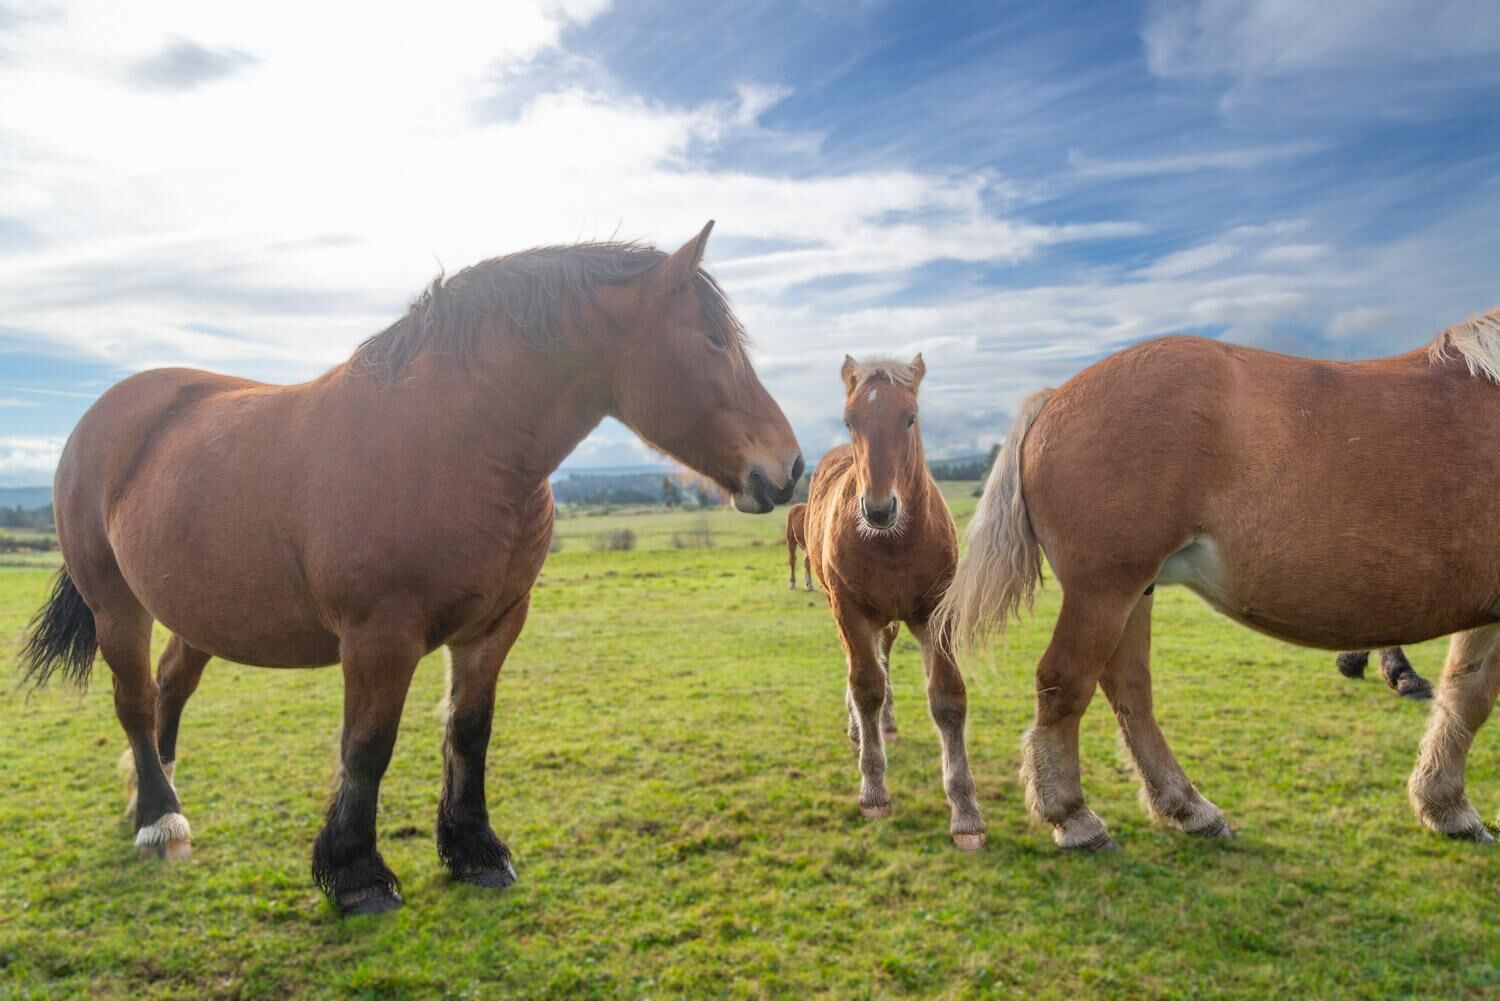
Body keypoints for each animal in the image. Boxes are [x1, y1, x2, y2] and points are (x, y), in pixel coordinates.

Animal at [19, 223, 804, 914]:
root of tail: (105, 416)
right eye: (711, 340)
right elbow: (367, 748)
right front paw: (357, 876)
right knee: (134, 701)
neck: (452, 442)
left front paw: (476, 851)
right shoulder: (379, 637)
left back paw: (152, 798)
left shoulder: (495, 626)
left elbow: (469, 731)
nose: (790, 467)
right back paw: (158, 818)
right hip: (117, 606)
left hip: (201, 613)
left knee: (169, 691)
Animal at [803, 355, 986, 850]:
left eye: (911, 417)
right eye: (850, 421)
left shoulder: (935, 612)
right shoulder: (849, 611)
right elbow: (865, 686)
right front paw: (873, 791)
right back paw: (861, 731)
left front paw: (966, 813)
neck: (894, 544)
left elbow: (947, 698)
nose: (879, 509)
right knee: (864, 670)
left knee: (883, 658)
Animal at [938, 307, 1500, 850]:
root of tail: (1056, 397)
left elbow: (1465, 694)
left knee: (1129, 688)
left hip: (1132, 592)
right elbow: (1473, 698)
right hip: (1103, 591)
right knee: (1064, 683)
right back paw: (1073, 816)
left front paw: (1444, 805)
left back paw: (1187, 807)